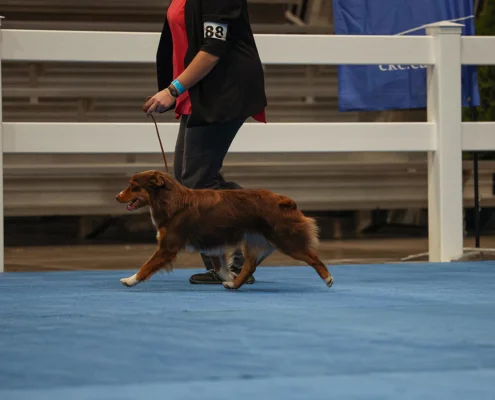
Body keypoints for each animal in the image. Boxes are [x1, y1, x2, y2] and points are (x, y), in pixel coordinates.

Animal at [116, 170, 334, 290]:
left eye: (133, 186)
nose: (117, 197)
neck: (170, 200)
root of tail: (284, 200)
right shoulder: (214, 244)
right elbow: (221, 268)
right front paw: (229, 277)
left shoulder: (167, 247)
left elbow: (146, 266)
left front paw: (130, 280)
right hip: (254, 241)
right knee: (250, 266)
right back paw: (233, 285)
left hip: (284, 239)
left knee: (313, 257)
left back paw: (328, 278)